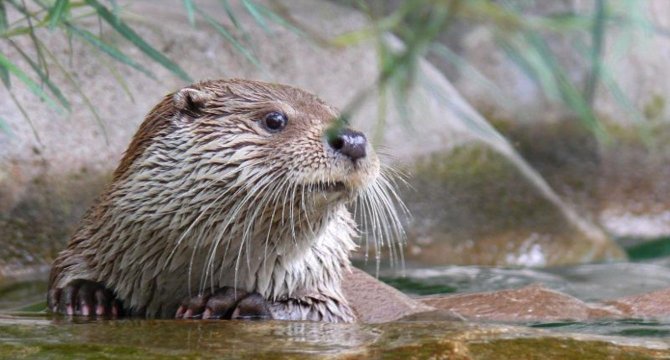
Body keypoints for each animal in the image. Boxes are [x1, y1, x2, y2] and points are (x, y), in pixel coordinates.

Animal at [48, 78, 404, 320]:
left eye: (344, 120)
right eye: (275, 119)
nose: (353, 140)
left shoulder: (326, 291)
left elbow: (321, 309)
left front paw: (230, 301)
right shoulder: (95, 238)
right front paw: (85, 293)